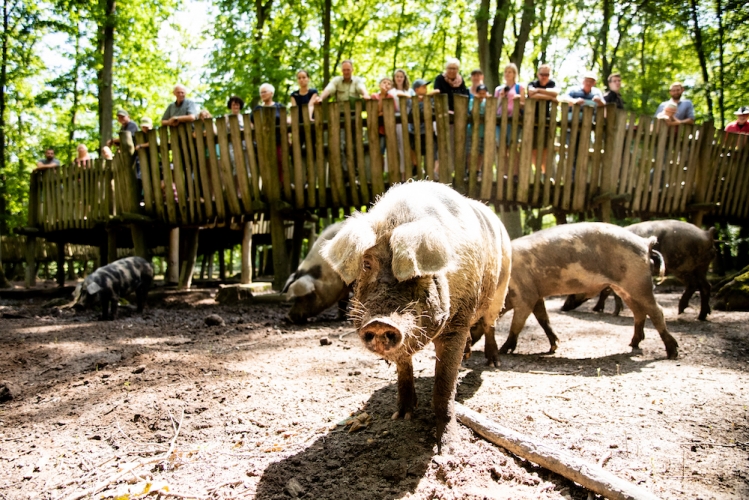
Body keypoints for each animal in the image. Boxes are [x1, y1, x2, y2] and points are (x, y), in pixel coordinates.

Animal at [318, 181, 512, 454]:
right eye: (367, 264)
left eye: (415, 272)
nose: (380, 323)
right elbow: (403, 369)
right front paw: (401, 416)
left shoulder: (458, 321)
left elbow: (444, 385)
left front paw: (448, 450)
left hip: (500, 290)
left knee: (489, 324)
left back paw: (494, 363)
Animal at [474, 223, 676, 360]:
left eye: (475, 324)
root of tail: (645, 243)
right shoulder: (537, 295)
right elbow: (543, 319)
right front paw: (554, 347)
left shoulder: (526, 295)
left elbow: (517, 324)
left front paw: (504, 350)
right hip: (625, 288)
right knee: (639, 311)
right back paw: (633, 343)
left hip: (638, 282)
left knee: (657, 311)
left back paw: (672, 352)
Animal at [560, 220, 720, 320]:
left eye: (573, 288)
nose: (562, 308)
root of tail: (707, 235)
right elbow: (608, 293)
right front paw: (603, 310)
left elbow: (608, 292)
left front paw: (607, 311)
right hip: (697, 268)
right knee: (702, 285)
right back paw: (695, 314)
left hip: (687, 267)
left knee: (699, 286)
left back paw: (692, 314)